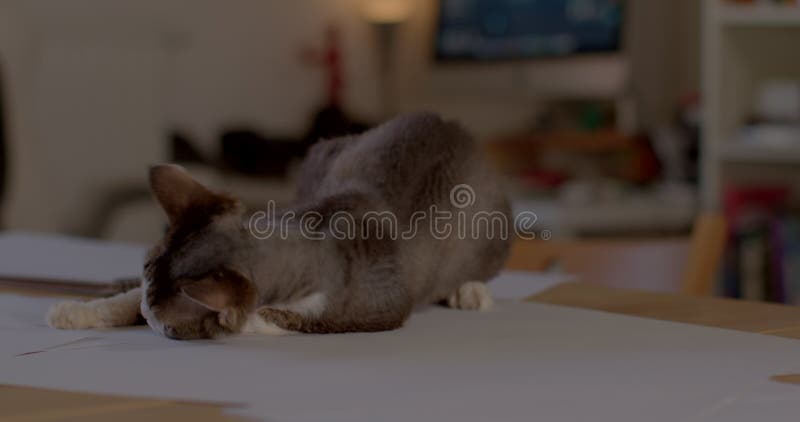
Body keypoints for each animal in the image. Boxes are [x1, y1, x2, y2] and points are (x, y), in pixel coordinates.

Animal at [47, 112, 512, 340]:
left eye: (163, 320)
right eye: (145, 274)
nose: (145, 315)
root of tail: (457, 128)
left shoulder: (380, 306)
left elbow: (280, 317)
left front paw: (240, 322)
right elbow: (120, 297)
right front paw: (79, 310)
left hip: (490, 232)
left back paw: (470, 291)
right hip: (322, 154)